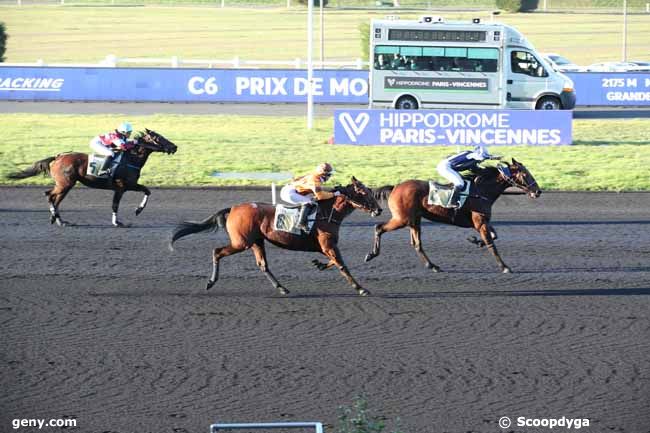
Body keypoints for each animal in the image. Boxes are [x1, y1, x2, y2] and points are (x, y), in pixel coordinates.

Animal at [170, 177, 382, 296]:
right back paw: (211, 282)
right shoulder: (328, 244)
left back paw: (282, 288)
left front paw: (319, 264)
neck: (328, 213)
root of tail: (234, 208)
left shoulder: (326, 247)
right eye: (364, 192)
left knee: (263, 264)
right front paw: (361, 288)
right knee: (217, 251)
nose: (379, 210)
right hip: (241, 242)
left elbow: (335, 262)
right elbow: (342, 265)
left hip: (256, 241)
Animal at [362, 159, 540, 272]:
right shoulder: (480, 222)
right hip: (402, 219)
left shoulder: (482, 221)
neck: (481, 190)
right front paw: (504, 267)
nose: (538, 191)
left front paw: (475, 241)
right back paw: (371, 254)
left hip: (414, 220)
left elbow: (494, 236)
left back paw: (433, 266)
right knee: (379, 227)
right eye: (525, 174)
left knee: (417, 243)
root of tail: (395, 187)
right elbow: (492, 244)